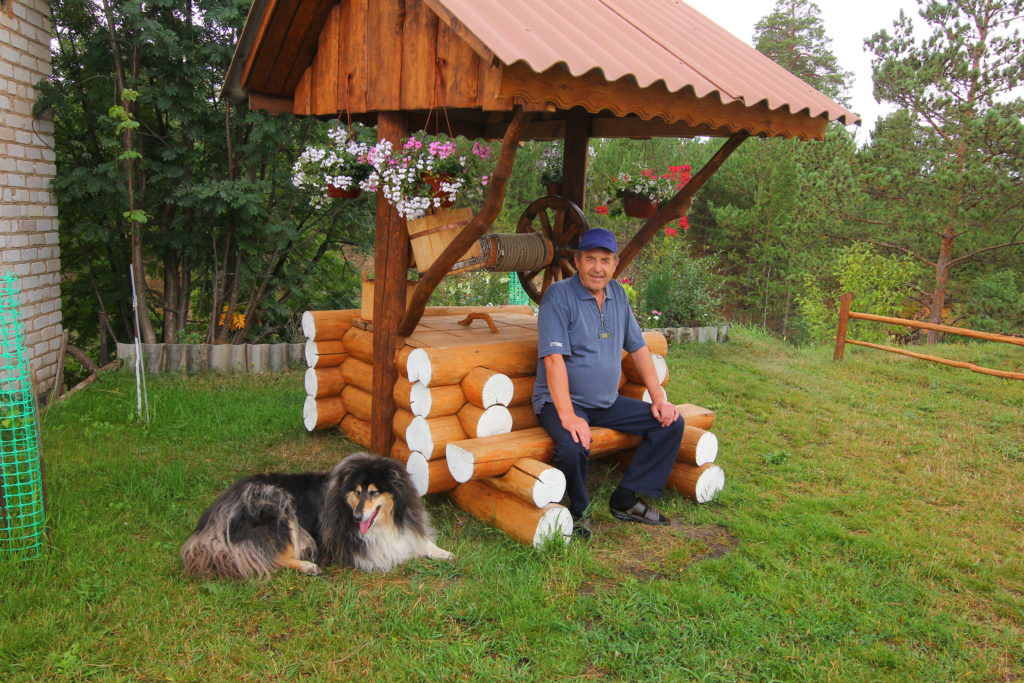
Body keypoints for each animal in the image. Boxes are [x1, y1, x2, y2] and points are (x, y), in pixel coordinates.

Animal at [181, 456, 452, 581]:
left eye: (374, 492)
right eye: (357, 491)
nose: (356, 516)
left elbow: (418, 541)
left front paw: (442, 552)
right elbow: (394, 550)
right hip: (277, 504)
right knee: (267, 557)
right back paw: (307, 566)